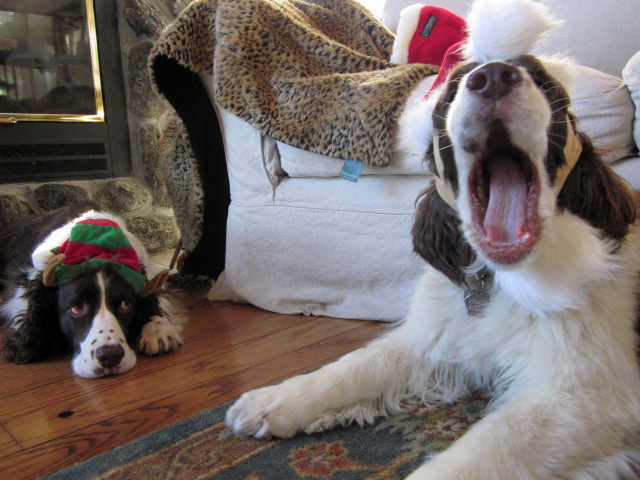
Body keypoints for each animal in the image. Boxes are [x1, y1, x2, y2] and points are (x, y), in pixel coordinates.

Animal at [0, 201, 185, 376]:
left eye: (125, 304)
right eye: (77, 307)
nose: (111, 356)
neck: (98, 248)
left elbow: (156, 306)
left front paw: (157, 330)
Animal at [225, 1, 640, 478]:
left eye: (540, 78)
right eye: (456, 86)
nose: (493, 77)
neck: (496, 282)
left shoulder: (586, 394)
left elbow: (479, 454)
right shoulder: (430, 334)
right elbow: (355, 367)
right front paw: (273, 400)